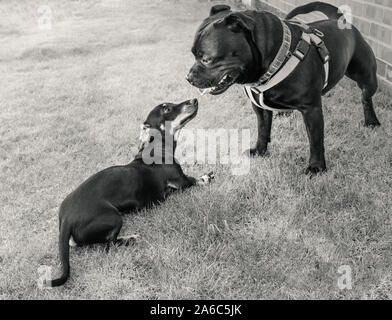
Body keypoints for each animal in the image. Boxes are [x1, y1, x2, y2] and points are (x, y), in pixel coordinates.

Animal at [187, 1, 380, 175]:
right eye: (193, 54)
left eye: (206, 59)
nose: (188, 78)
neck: (277, 58)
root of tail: (340, 21)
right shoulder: (259, 108)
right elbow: (263, 129)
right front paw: (260, 150)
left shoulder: (311, 109)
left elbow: (315, 140)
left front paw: (317, 167)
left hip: (367, 77)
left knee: (365, 96)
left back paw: (371, 120)